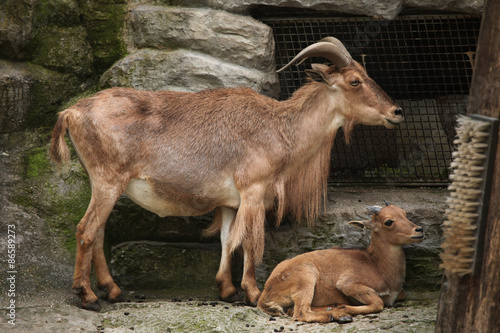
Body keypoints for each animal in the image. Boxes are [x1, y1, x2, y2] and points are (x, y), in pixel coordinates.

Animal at [49, 37, 402, 310]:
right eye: (355, 81)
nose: (396, 112)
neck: (281, 129)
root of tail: (72, 112)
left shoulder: (231, 203)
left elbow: (227, 239)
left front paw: (227, 289)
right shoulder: (253, 192)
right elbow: (249, 242)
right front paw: (253, 292)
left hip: (102, 184)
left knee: (97, 233)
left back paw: (112, 290)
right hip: (108, 182)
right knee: (86, 231)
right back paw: (88, 296)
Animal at [256, 202, 424, 322]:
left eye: (404, 213)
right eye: (388, 221)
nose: (419, 230)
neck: (377, 265)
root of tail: (265, 294)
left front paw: (339, 307)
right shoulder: (348, 283)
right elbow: (378, 303)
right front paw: (344, 308)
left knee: (294, 310)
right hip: (306, 278)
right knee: (300, 312)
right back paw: (335, 315)